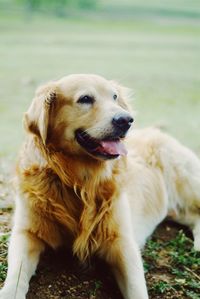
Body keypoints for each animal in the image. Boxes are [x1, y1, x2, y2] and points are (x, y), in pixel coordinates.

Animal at [0, 73, 200, 299]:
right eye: (85, 99)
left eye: (114, 97)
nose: (127, 120)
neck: (80, 181)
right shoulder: (26, 233)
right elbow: (16, 275)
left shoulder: (122, 242)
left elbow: (136, 288)